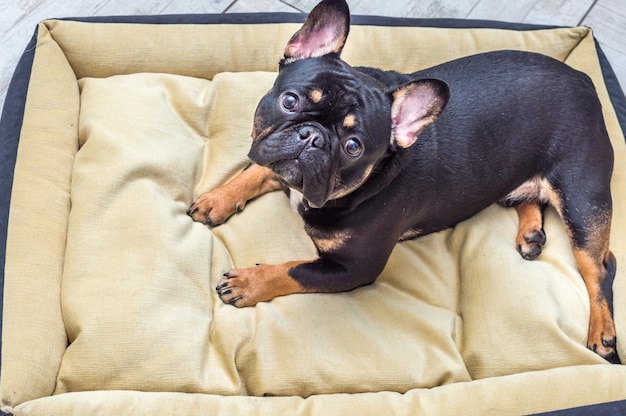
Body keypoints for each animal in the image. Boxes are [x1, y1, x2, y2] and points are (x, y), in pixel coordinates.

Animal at [188, 0, 616, 360]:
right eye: (290, 101)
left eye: (354, 146)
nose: (313, 138)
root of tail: (584, 80)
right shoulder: (277, 161)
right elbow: (257, 169)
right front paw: (217, 199)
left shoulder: (352, 269)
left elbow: (293, 269)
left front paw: (249, 282)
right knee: (530, 197)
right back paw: (530, 233)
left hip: (582, 201)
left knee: (600, 268)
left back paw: (602, 332)